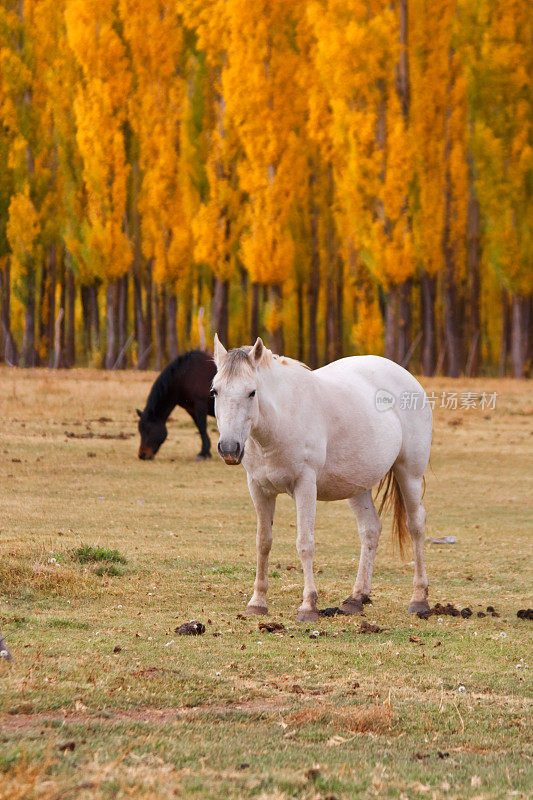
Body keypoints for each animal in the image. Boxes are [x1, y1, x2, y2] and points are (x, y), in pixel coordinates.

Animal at [212, 334, 432, 620]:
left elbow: (305, 543)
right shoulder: (258, 488)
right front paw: (257, 603)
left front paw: (308, 606)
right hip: (357, 487)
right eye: (215, 391)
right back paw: (356, 598)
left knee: (415, 525)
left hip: (409, 473)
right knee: (370, 529)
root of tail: (405, 375)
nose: (229, 448)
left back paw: (419, 599)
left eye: (252, 392)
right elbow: (263, 542)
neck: (282, 420)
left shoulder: (305, 485)